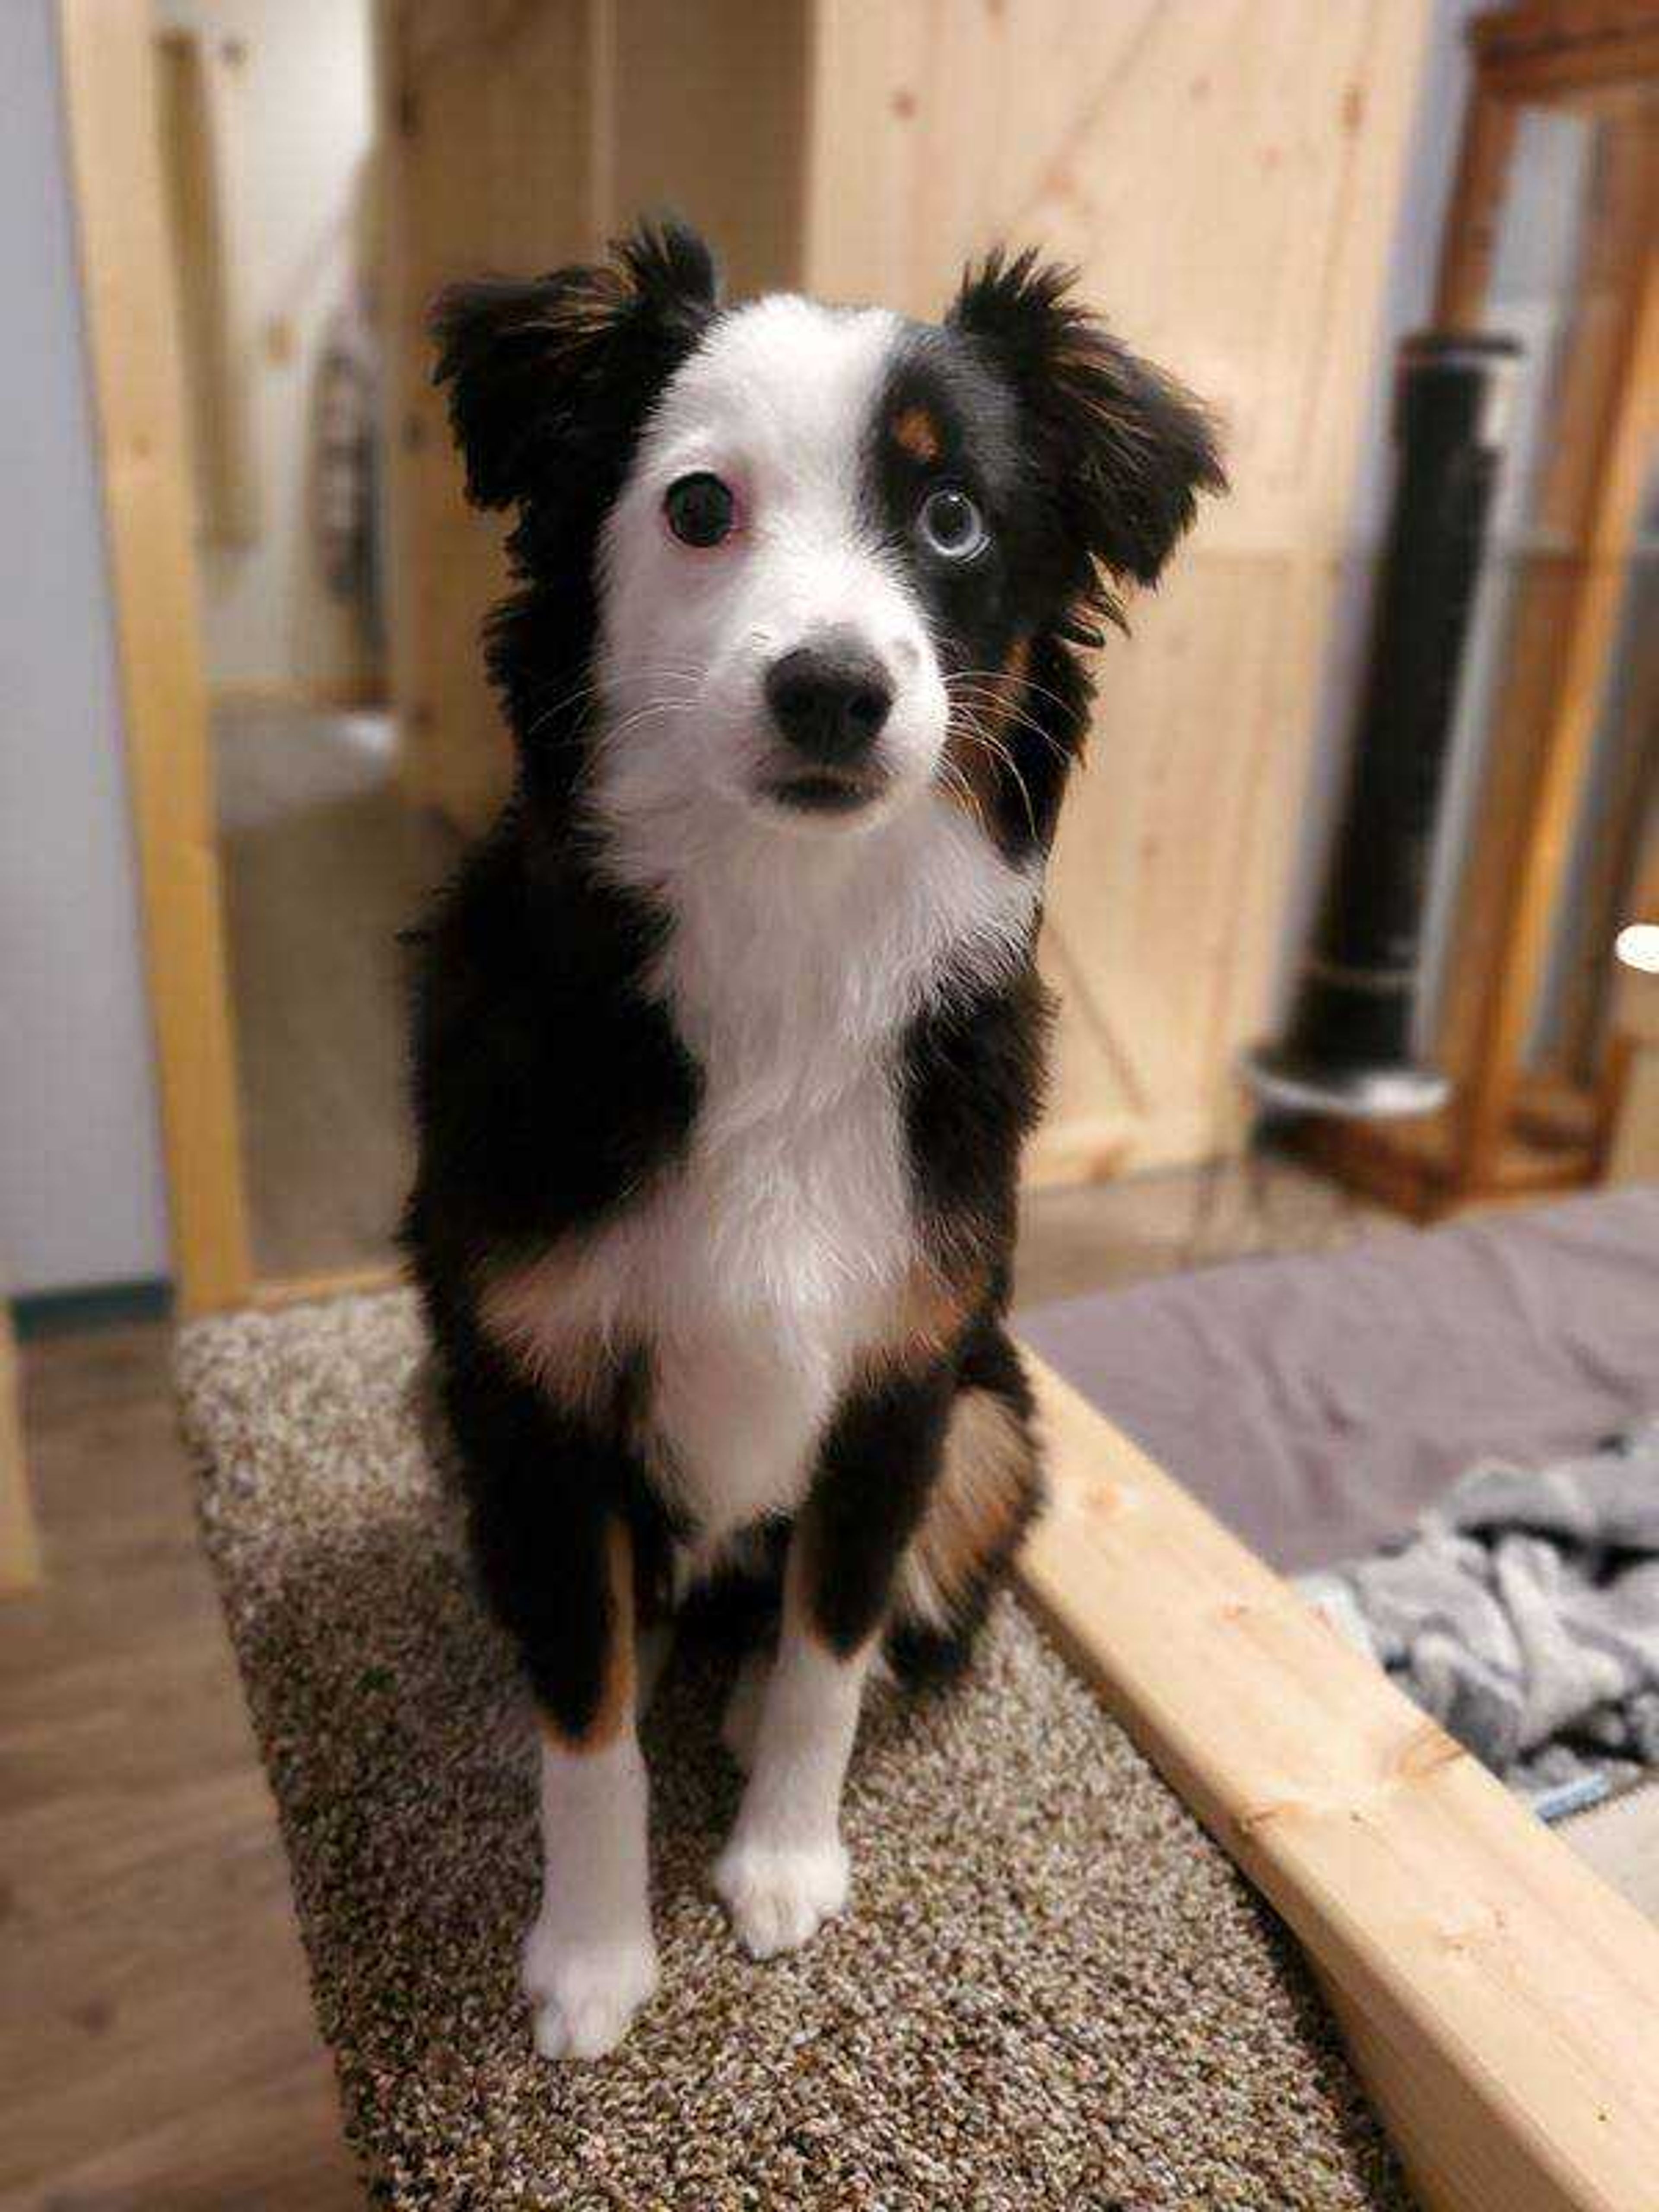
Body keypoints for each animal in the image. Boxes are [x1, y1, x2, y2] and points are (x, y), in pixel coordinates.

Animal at [409, 224, 1230, 2053]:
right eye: (699, 505)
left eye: (954, 517)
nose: (837, 692)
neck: (788, 936)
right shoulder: (534, 1382)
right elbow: (588, 1722)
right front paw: (593, 1956)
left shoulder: (906, 1374)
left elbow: (830, 1654)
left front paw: (781, 1865)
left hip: (998, 1440)